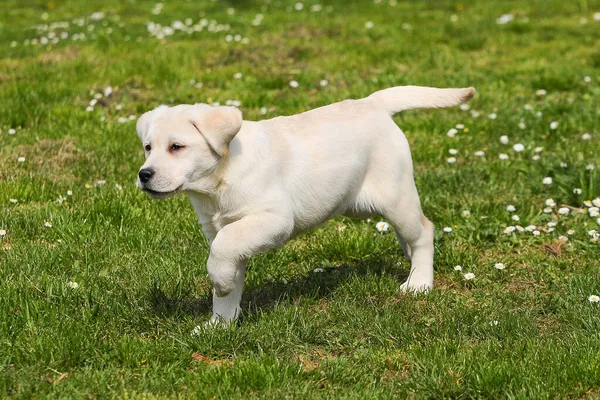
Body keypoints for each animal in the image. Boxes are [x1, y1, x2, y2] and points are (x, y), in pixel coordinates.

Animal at [135, 85, 474, 324]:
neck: (220, 178)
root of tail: (373, 103)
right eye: (148, 147)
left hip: (394, 195)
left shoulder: (273, 219)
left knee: (423, 231)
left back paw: (419, 282)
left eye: (177, 147)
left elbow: (221, 251)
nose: (144, 175)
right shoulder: (229, 230)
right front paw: (219, 324)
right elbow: (229, 274)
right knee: (410, 235)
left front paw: (218, 283)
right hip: (362, 202)